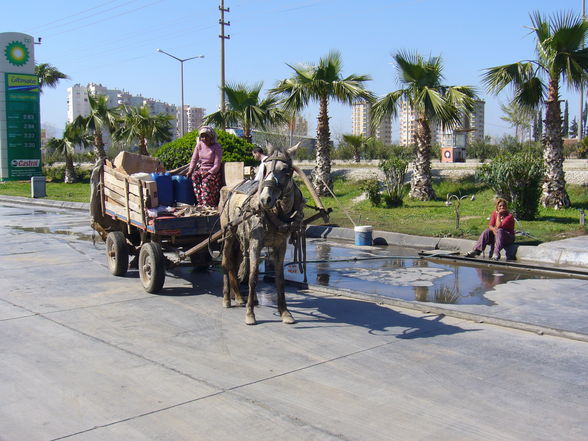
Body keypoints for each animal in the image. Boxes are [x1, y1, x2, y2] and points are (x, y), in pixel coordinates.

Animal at [219, 144, 306, 324]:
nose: (265, 199)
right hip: (228, 232)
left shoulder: (280, 246)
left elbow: (280, 279)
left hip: (240, 239)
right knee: (226, 263)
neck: (275, 214)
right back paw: (227, 299)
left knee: (234, 265)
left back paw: (238, 297)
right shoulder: (255, 244)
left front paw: (285, 312)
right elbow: (252, 277)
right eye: (264, 169)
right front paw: (250, 313)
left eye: (286, 170)